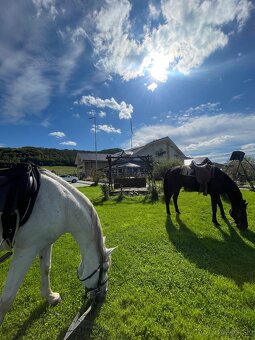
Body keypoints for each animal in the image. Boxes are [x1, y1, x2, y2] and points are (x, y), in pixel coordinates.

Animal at [0, 170, 115, 324]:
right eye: (106, 268)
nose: (103, 294)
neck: (63, 205)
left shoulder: (44, 243)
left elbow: (46, 268)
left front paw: (50, 297)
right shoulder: (26, 250)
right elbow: (7, 298)